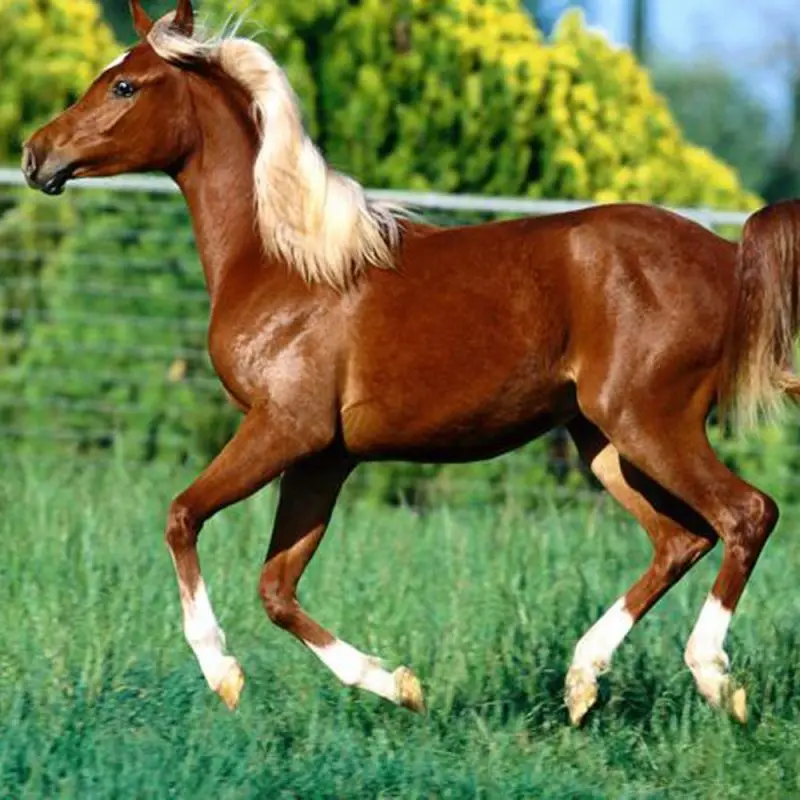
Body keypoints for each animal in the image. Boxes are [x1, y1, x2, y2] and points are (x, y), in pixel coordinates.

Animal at [22, 0, 800, 726]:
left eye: (124, 85)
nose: (35, 154)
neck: (286, 261)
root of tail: (727, 257)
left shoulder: (284, 430)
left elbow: (182, 517)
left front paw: (224, 674)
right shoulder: (324, 458)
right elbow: (277, 589)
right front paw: (399, 684)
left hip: (648, 422)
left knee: (746, 514)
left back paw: (713, 678)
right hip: (604, 444)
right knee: (680, 539)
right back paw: (582, 682)